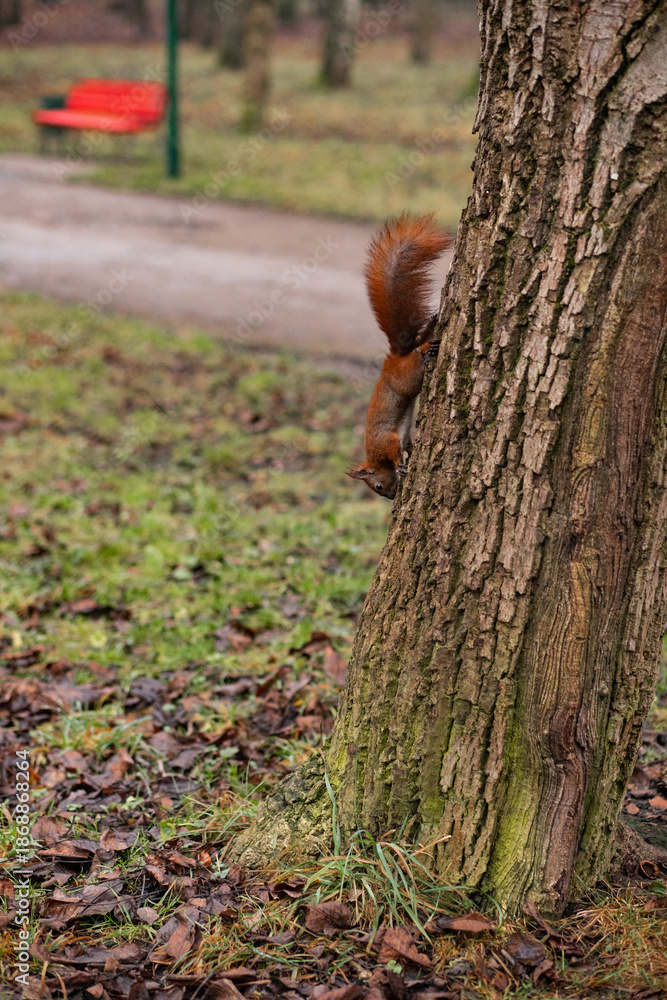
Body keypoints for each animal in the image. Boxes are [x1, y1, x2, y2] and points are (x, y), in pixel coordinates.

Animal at [348, 213, 451, 499]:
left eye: (378, 486)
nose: (392, 497)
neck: (376, 458)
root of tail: (395, 357)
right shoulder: (401, 436)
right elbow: (408, 444)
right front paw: (412, 457)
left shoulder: (386, 441)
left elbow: (394, 454)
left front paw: (401, 467)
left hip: (408, 379)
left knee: (417, 359)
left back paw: (426, 349)